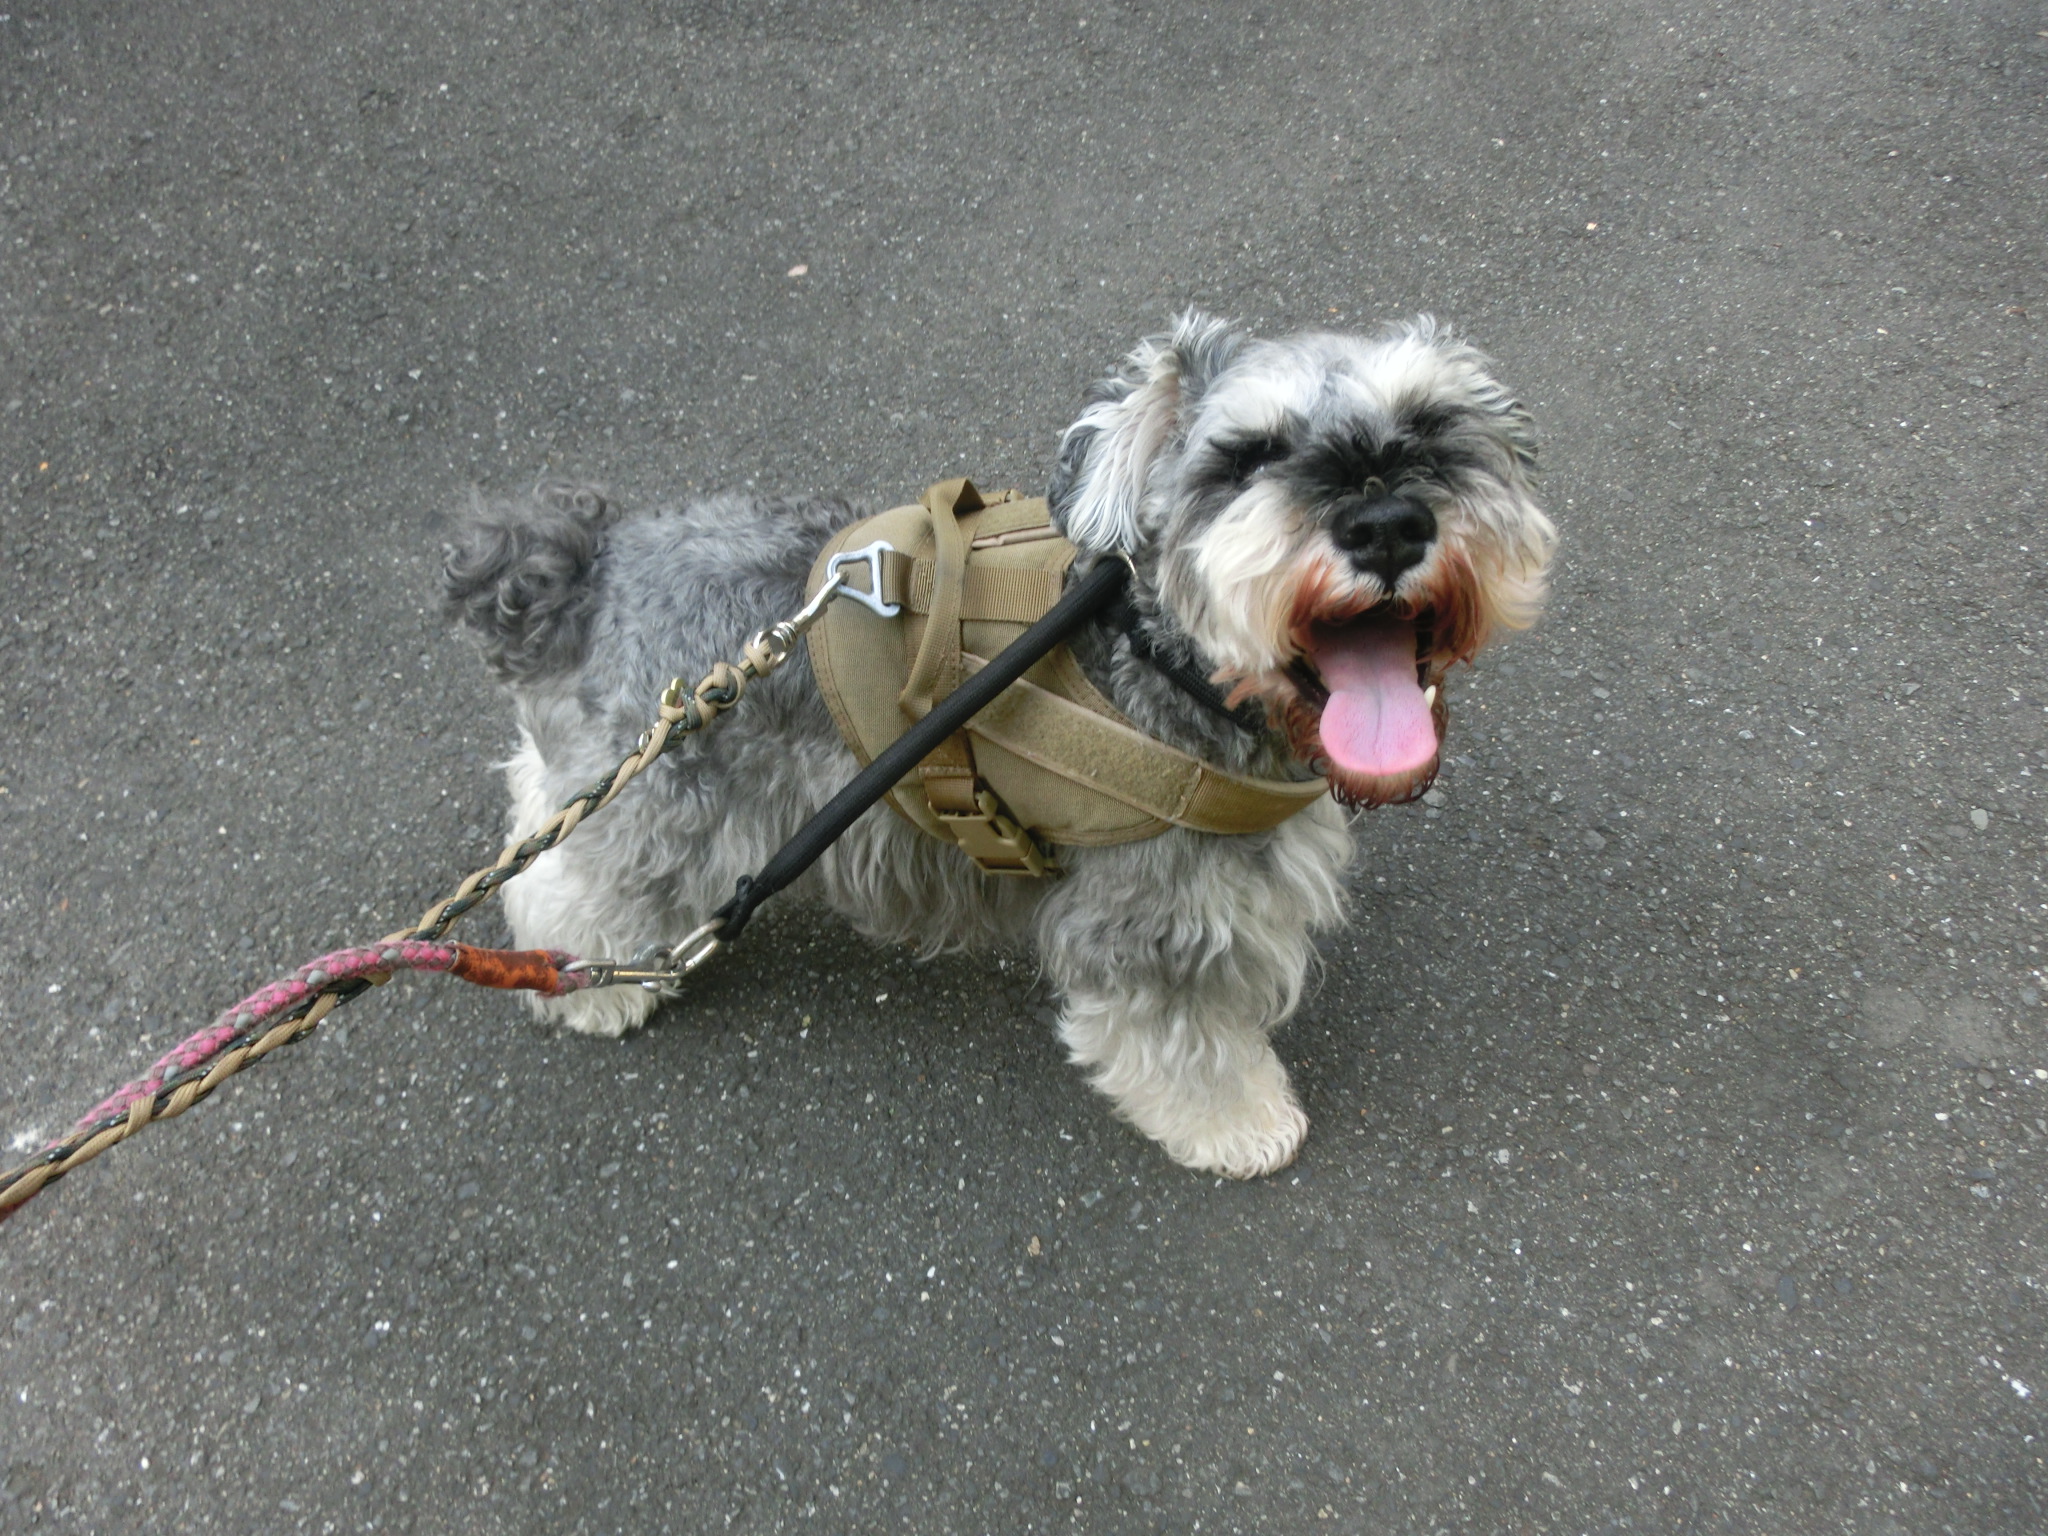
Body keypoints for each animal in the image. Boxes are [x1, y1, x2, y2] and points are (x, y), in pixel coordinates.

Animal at [441, 314, 1553, 1178]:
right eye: (1246, 457)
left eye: (1431, 425)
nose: (1386, 524)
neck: (1162, 658)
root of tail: (592, 565)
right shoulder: (1151, 919)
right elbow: (1184, 1042)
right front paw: (1238, 1125)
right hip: (669, 805)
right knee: (582, 880)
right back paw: (592, 984)